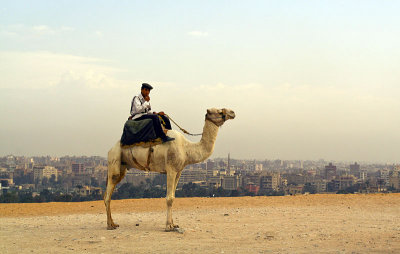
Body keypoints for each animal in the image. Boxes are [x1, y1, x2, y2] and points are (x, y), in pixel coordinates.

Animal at [104, 107, 234, 230]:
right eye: (219, 111)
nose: (232, 112)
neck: (186, 149)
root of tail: (111, 149)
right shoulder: (171, 169)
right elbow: (169, 198)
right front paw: (168, 226)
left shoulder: (179, 171)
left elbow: (173, 196)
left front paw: (173, 224)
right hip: (114, 158)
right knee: (108, 193)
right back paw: (110, 225)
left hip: (123, 166)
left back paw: (113, 223)